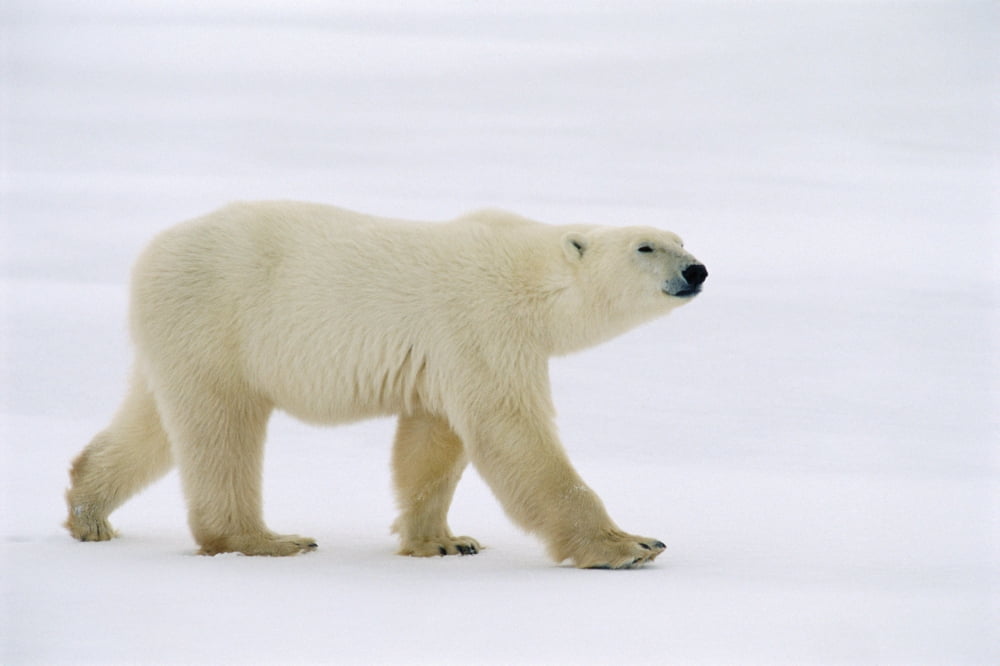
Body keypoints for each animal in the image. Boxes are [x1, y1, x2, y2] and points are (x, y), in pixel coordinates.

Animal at [65, 201, 707, 569]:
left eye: (681, 238)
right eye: (645, 246)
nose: (696, 269)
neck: (530, 276)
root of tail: (151, 252)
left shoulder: (447, 355)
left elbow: (433, 443)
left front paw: (443, 541)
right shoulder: (481, 322)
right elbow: (511, 434)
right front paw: (630, 546)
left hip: (178, 337)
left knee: (155, 422)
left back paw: (88, 511)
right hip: (218, 318)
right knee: (222, 428)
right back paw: (267, 538)